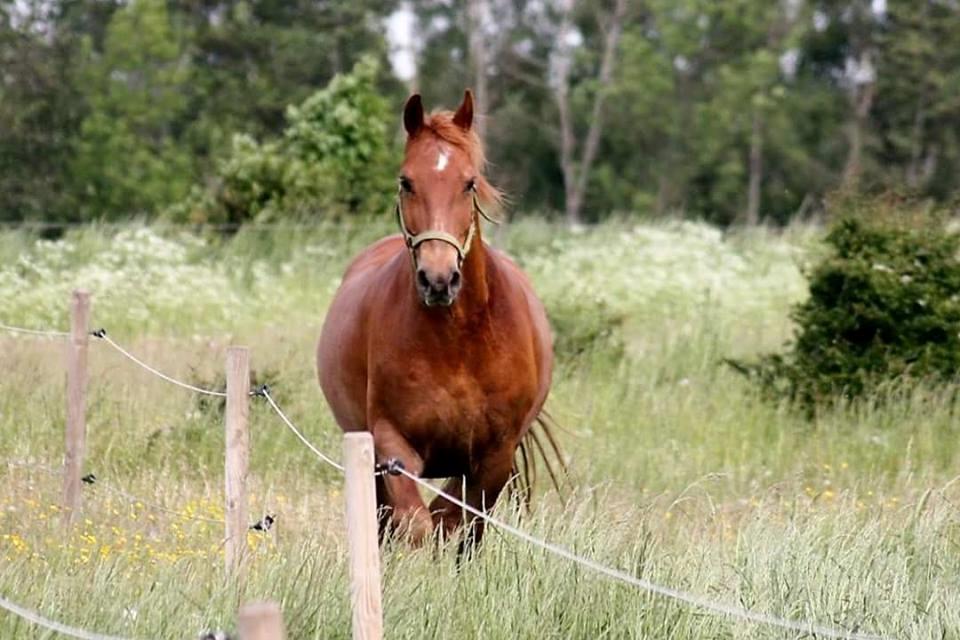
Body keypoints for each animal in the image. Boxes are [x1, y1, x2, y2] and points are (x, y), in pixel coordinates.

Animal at [318, 87, 560, 544]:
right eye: (406, 181)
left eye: (469, 183)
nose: (438, 279)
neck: (458, 340)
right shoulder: (392, 445)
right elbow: (417, 523)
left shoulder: (493, 458)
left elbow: (457, 523)